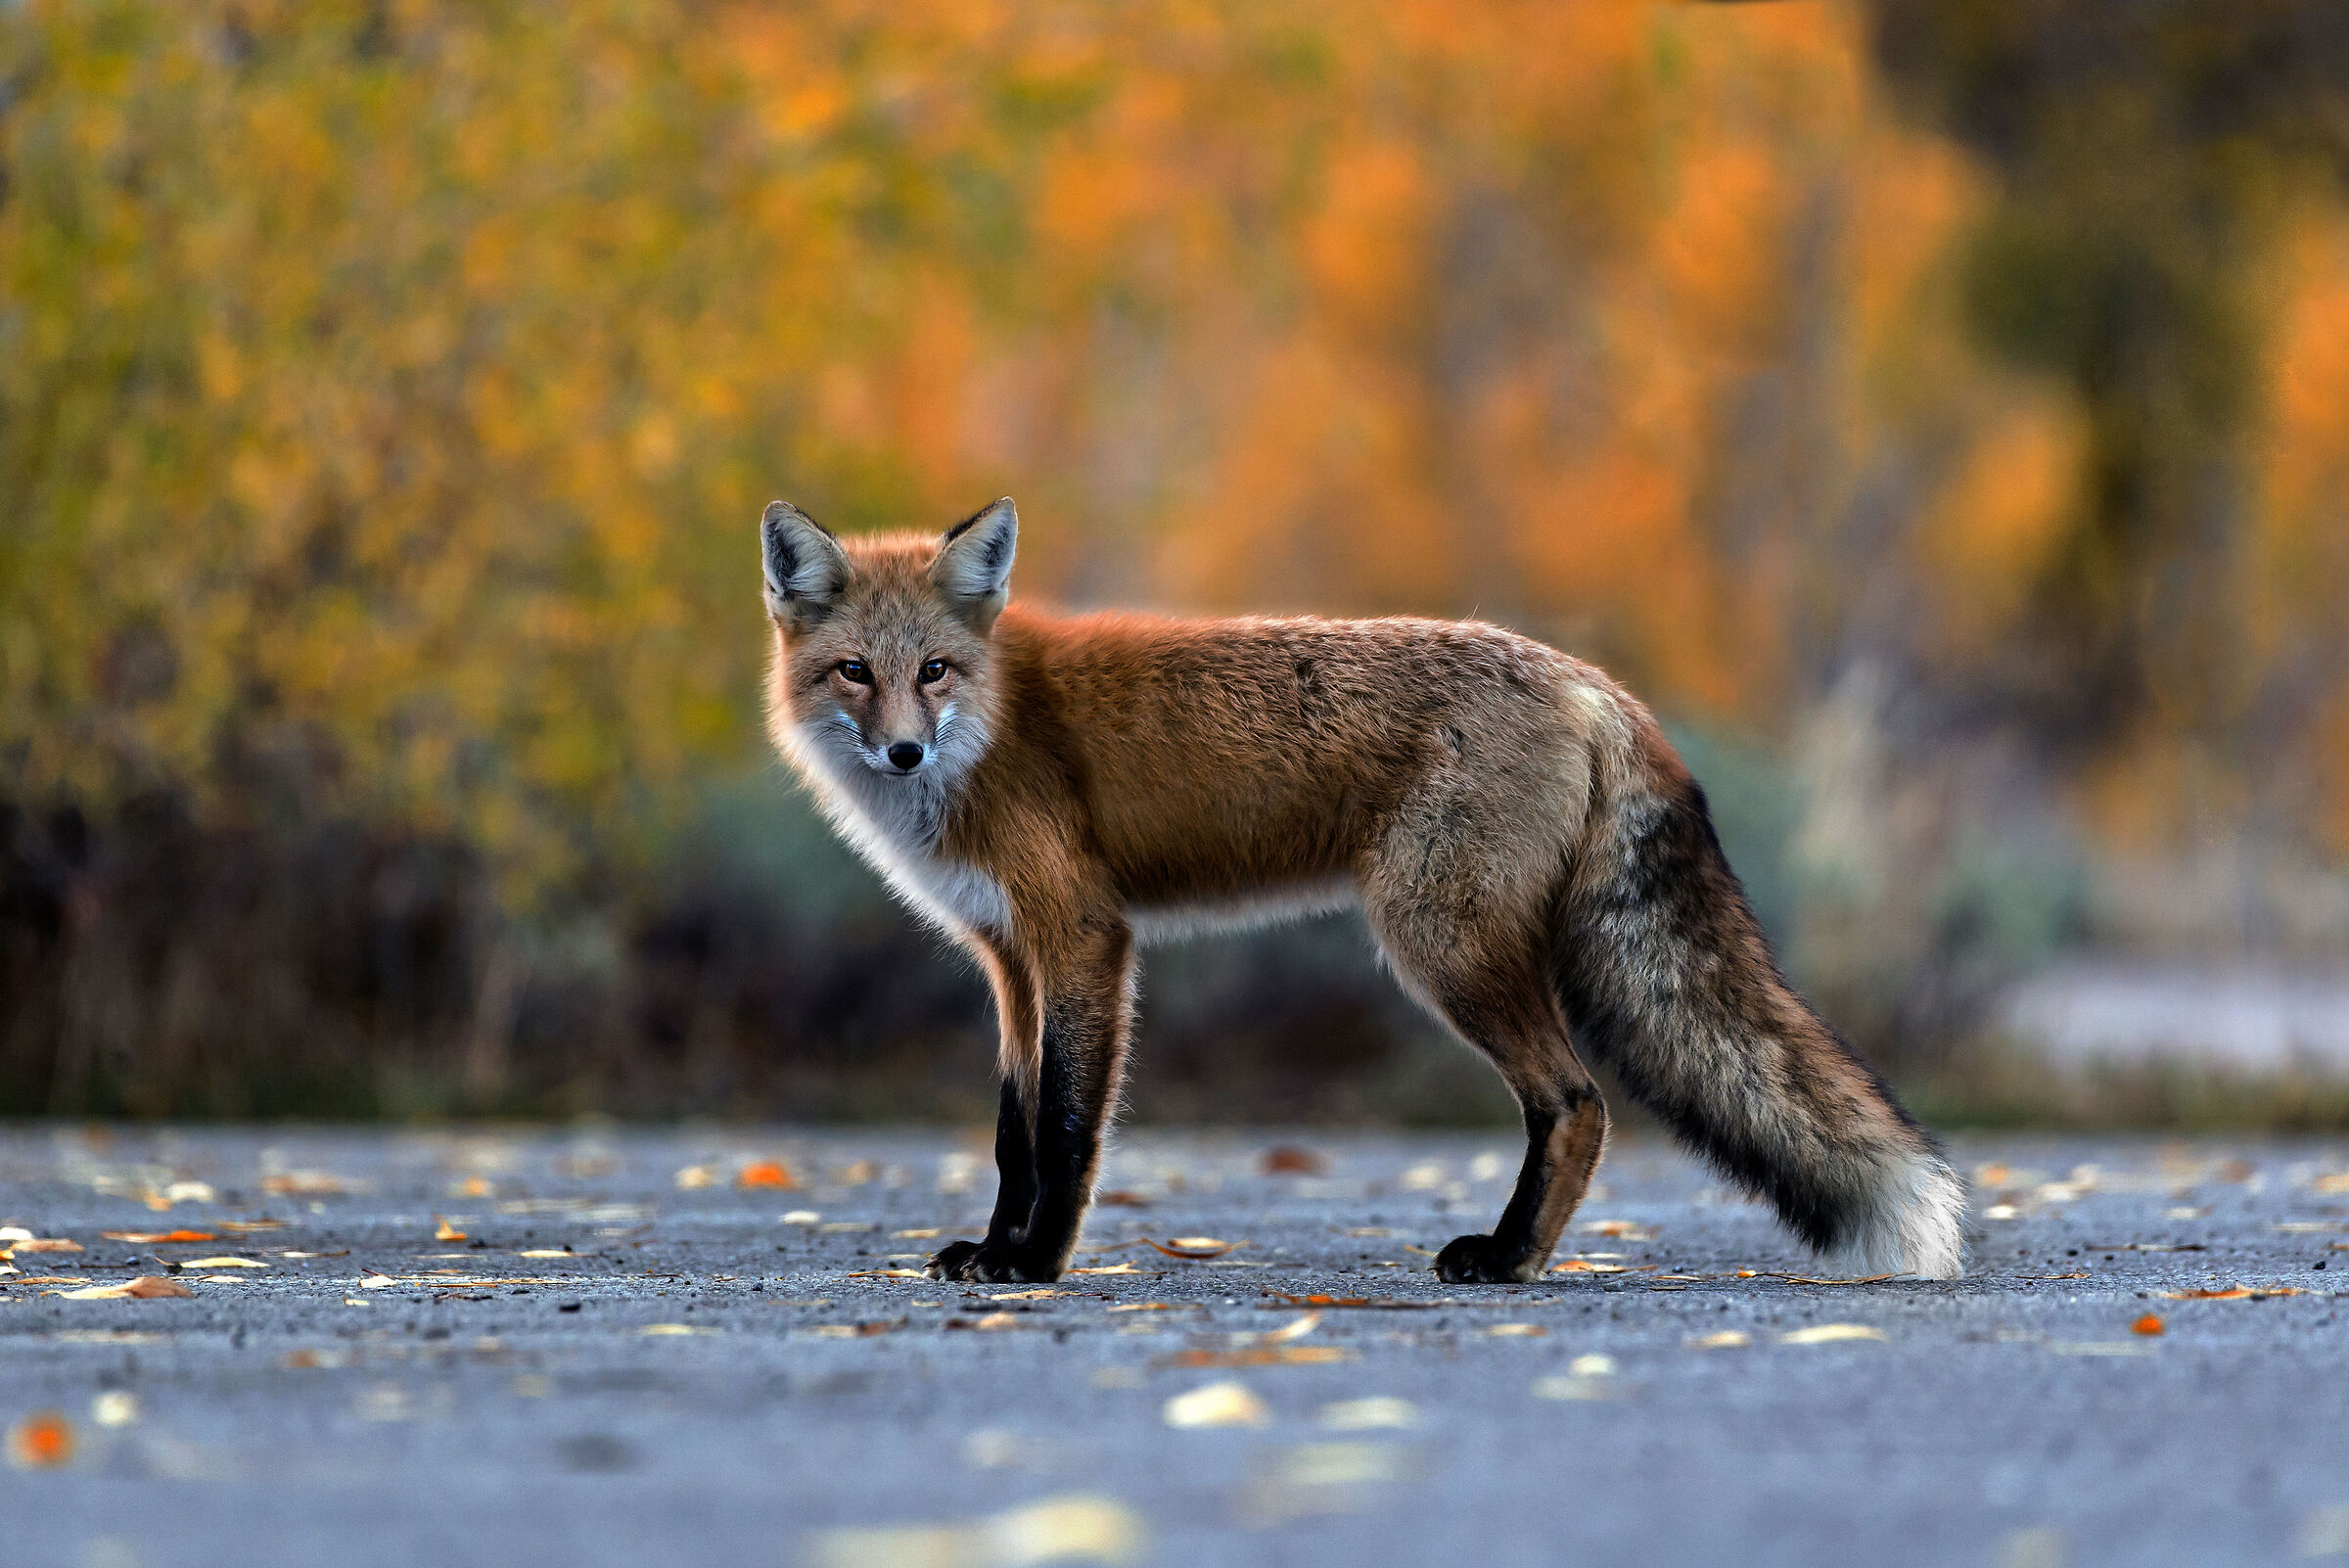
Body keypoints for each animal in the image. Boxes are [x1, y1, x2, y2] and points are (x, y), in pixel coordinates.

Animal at [760, 496, 1966, 1285]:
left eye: (935, 673)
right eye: (854, 673)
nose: (905, 753)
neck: (996, 727)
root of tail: (1596, 683)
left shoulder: (1085, 937)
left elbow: (1063, 1127)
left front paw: (1038, 1265)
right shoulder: (1010, 960)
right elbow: (1013, 1131)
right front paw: (996, 1248)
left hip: (1438, 944)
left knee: (1576, 1101)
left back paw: (1510, 1260)